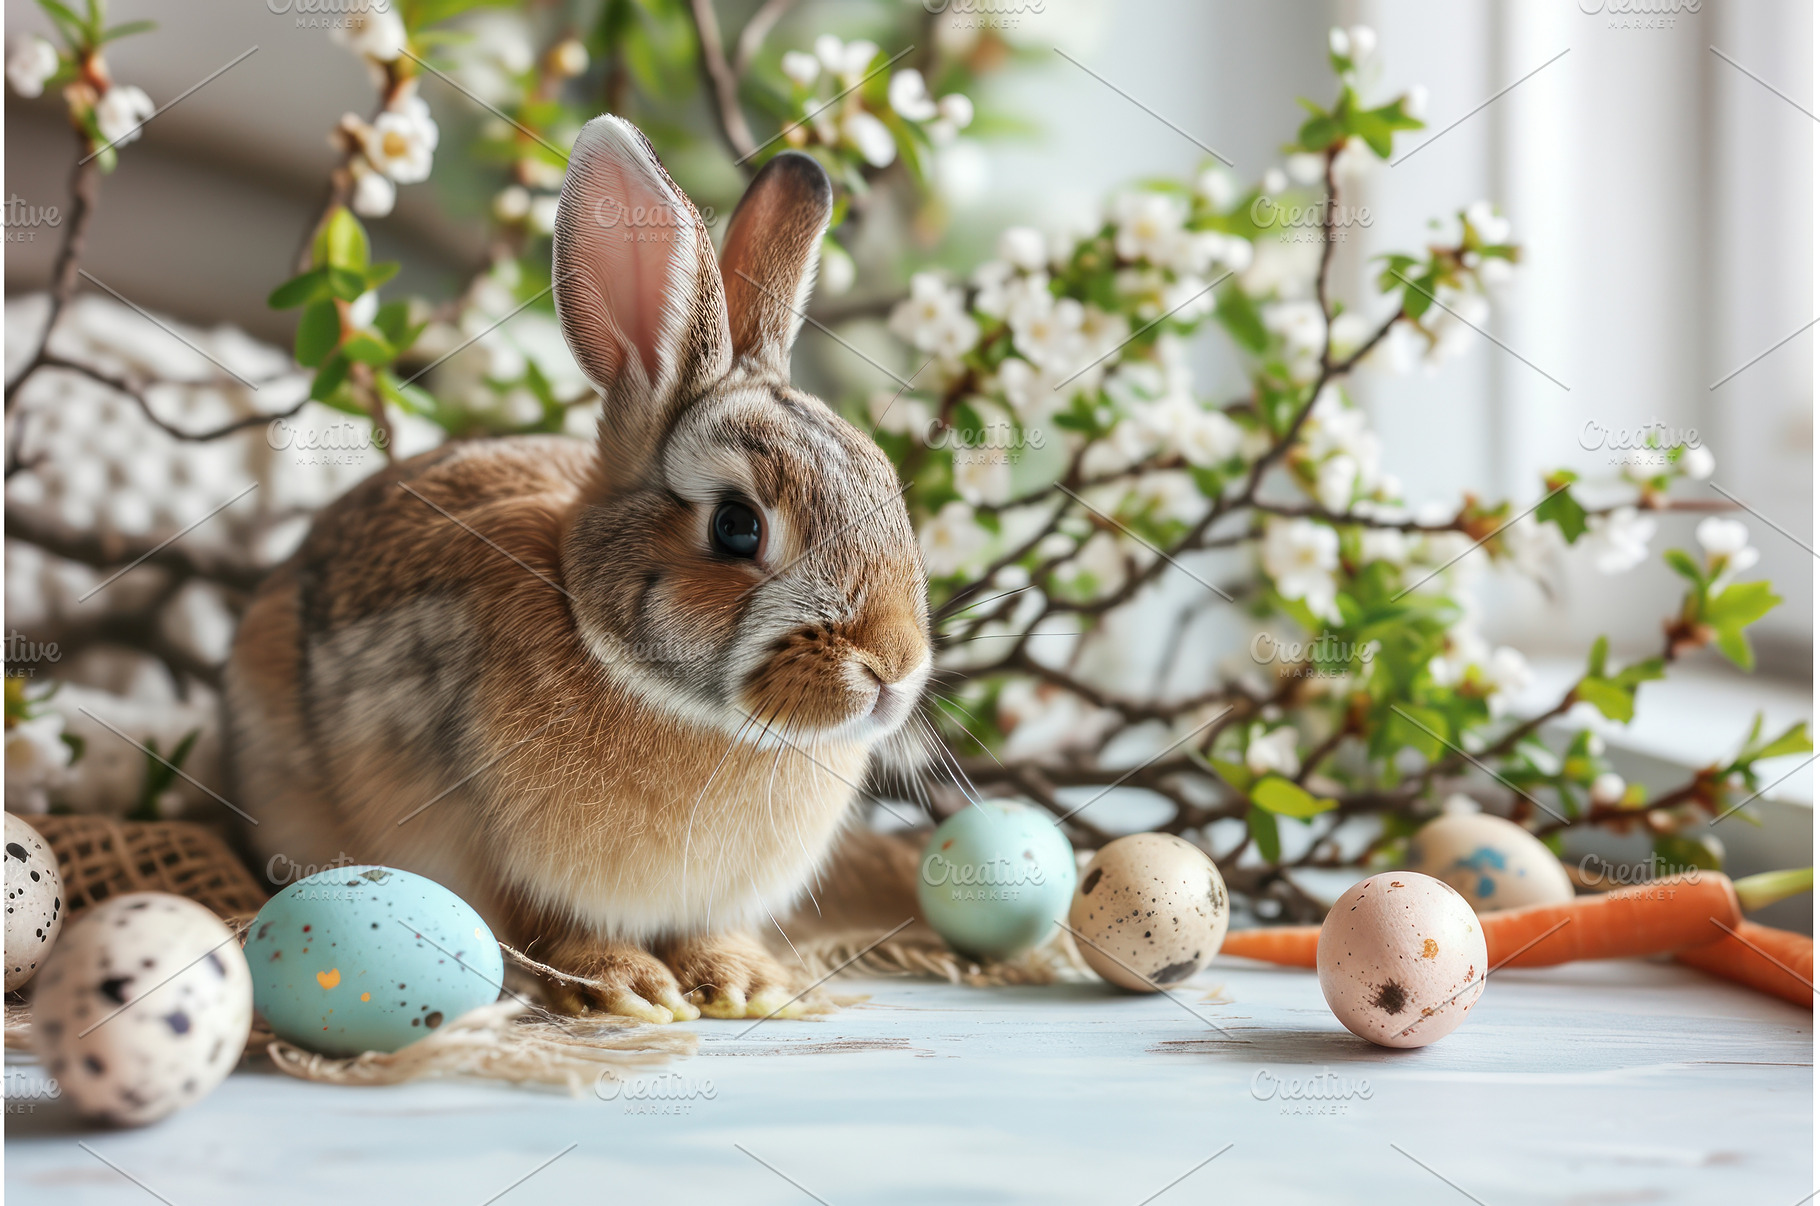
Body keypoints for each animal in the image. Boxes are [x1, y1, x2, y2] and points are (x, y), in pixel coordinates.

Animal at [225, 115, 932, 1023]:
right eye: (737, 528)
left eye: (887, 483)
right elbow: (550, 928)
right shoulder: (488, 847)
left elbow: (711, 933)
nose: (894, 668)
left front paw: (743, 982)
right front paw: (629, 987)